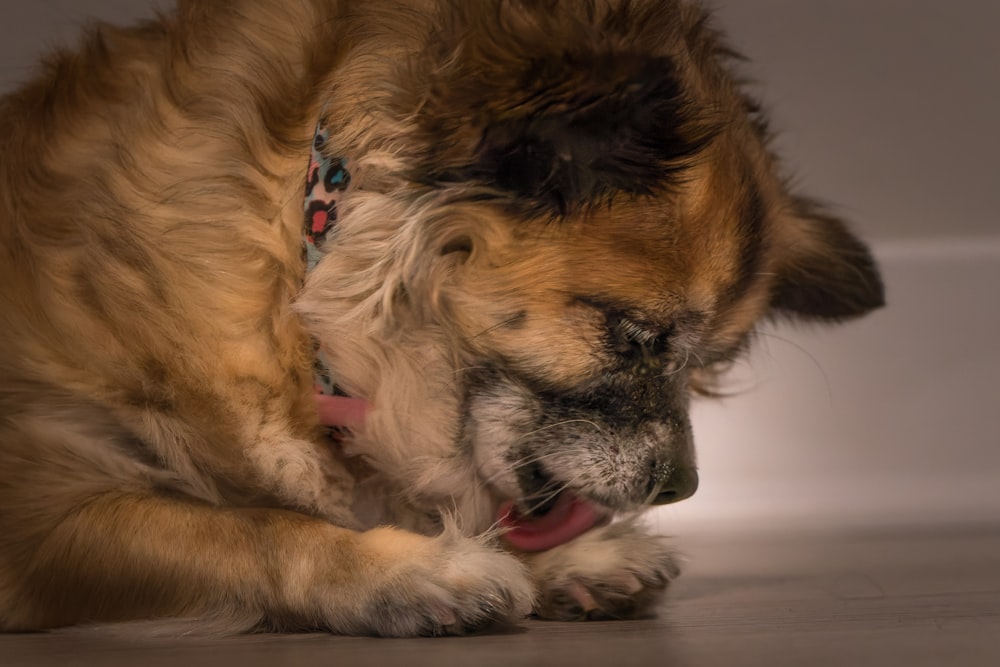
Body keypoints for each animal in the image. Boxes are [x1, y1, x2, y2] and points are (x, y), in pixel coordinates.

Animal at [0, 0, 880, 636]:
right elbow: (249, 528)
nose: (682, 486)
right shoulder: (39, 512)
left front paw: (569, 559)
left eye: (701, 365)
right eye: (634, 336)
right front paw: (410, 570)